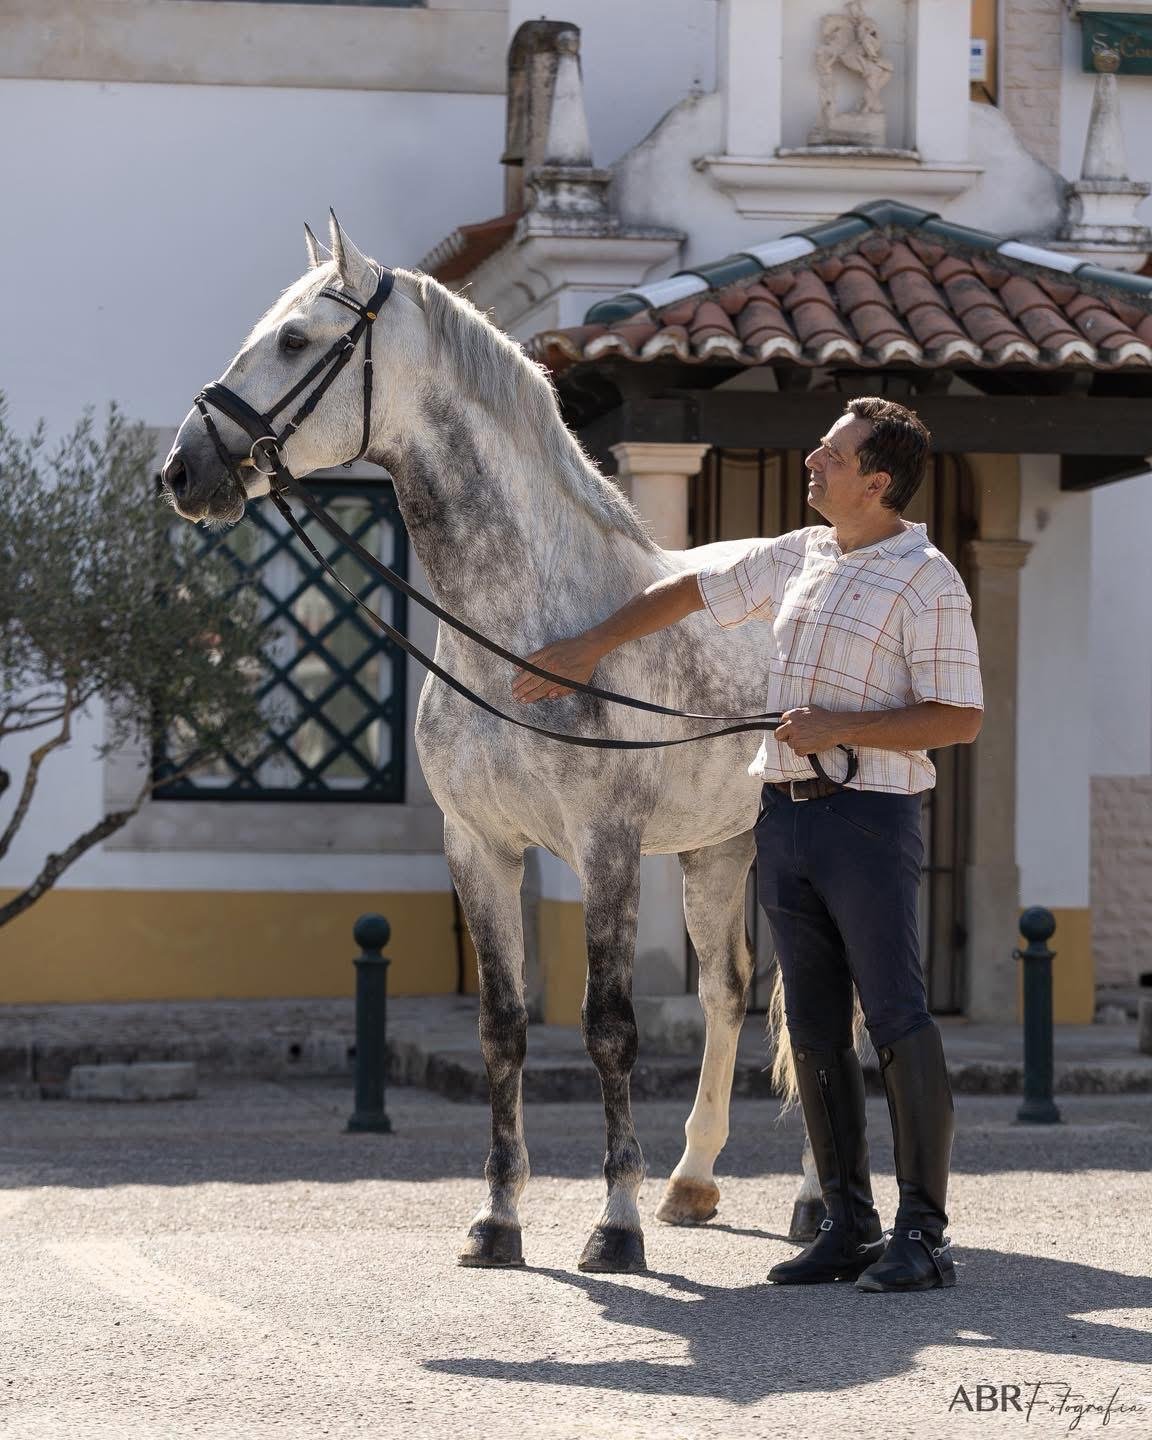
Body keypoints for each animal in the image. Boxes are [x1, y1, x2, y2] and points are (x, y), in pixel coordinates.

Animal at [161, 214, 868, 1273]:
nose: (183, 471)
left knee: (824, 1009)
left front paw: (613, 1225)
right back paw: (694, 1183)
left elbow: (609, 1029)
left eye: (292, 339)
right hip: (720, 851)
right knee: (730, 994)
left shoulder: (606, 850)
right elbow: (503, 1029)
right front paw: (498, 1219)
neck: (527, 628)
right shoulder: (481, 847)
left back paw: (812, 1204)